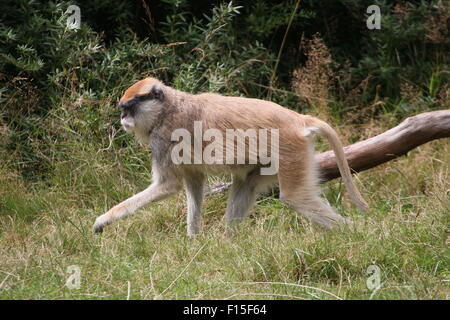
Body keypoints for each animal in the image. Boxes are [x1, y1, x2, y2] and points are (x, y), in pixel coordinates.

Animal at [93, 77, 368, 236]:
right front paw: (193, 240)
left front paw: (103, 220)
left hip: (291, 149)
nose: (123, 118)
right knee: (247, 182)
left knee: (295, 197)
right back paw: (229, 241)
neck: (167, 107)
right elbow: (194, 183)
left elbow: (168, 185)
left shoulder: (163, 139)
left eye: (129, 107)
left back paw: (357, 233)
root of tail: (297, 119)